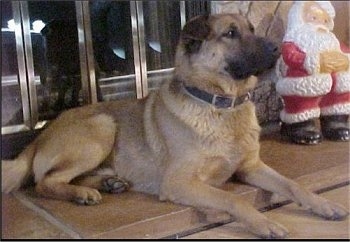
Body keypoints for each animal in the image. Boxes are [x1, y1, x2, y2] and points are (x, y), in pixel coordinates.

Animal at [2, 13, 348, 238]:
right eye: (231, 33)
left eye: (252, 28)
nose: (278, 47)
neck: (219, 104)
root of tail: (39, 136)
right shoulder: (181, 183)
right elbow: (231, 198)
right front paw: (262, 223)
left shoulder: (251, 167)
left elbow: (293, 184)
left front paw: (323, 204)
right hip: (102, 126)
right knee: (44, 182)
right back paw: (81, 194)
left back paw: (106, 184)